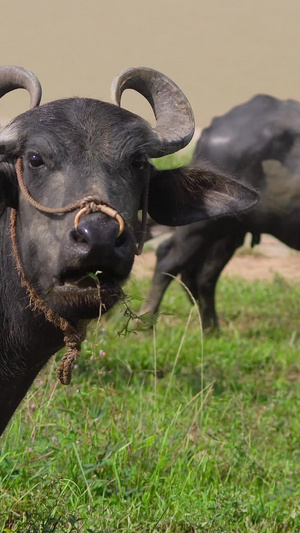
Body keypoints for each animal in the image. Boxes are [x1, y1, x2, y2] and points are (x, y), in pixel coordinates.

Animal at [141, 94, 300, 328]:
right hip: (204, 226)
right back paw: (145, 321)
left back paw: (211, 329)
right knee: (169, 256)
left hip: (228, 231)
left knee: (204, 275)